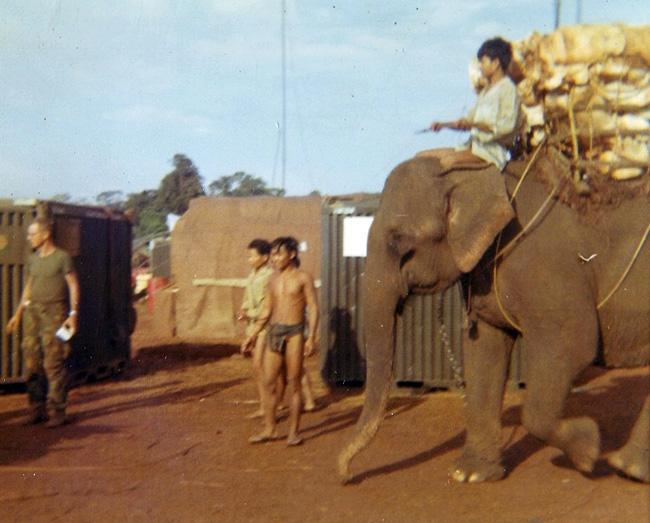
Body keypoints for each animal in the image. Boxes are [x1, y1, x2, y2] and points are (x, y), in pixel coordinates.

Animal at [336, 150, 644, 484]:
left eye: (399, 240)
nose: (347, 475)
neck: (479, 173)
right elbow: (484, 350)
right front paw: (468, 475)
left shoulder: (550, 267)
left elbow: (573, 344)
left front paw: (588, 451)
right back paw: (631, 468)